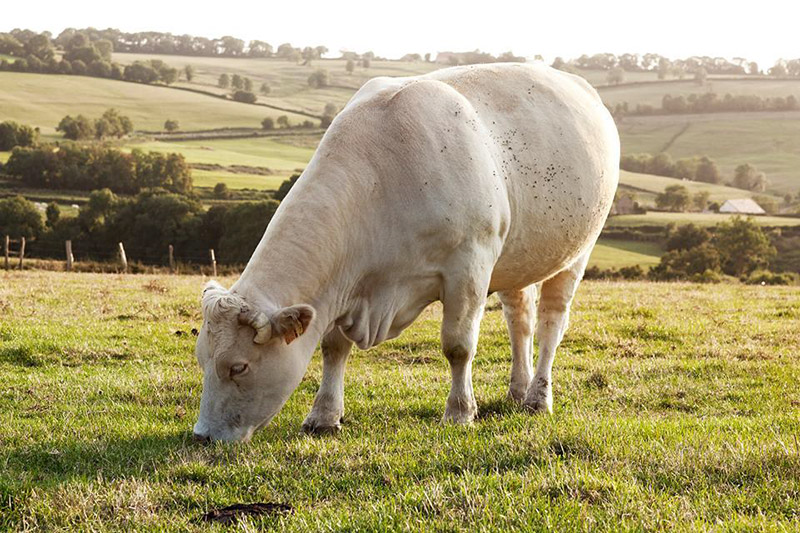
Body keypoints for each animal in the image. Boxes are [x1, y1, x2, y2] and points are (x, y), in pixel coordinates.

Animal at [194, 61, 620, 440]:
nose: (202, 436)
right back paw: (518, 389)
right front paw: (324, 416)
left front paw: (460, 413)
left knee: (550, 324)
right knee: (521, 321)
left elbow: (458, 346)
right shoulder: (344, 287)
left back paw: (537, 397)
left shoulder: (469, 266)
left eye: (238, 368)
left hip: (576, 251)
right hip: (518, 258)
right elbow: (333, 348)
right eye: (201, 361)